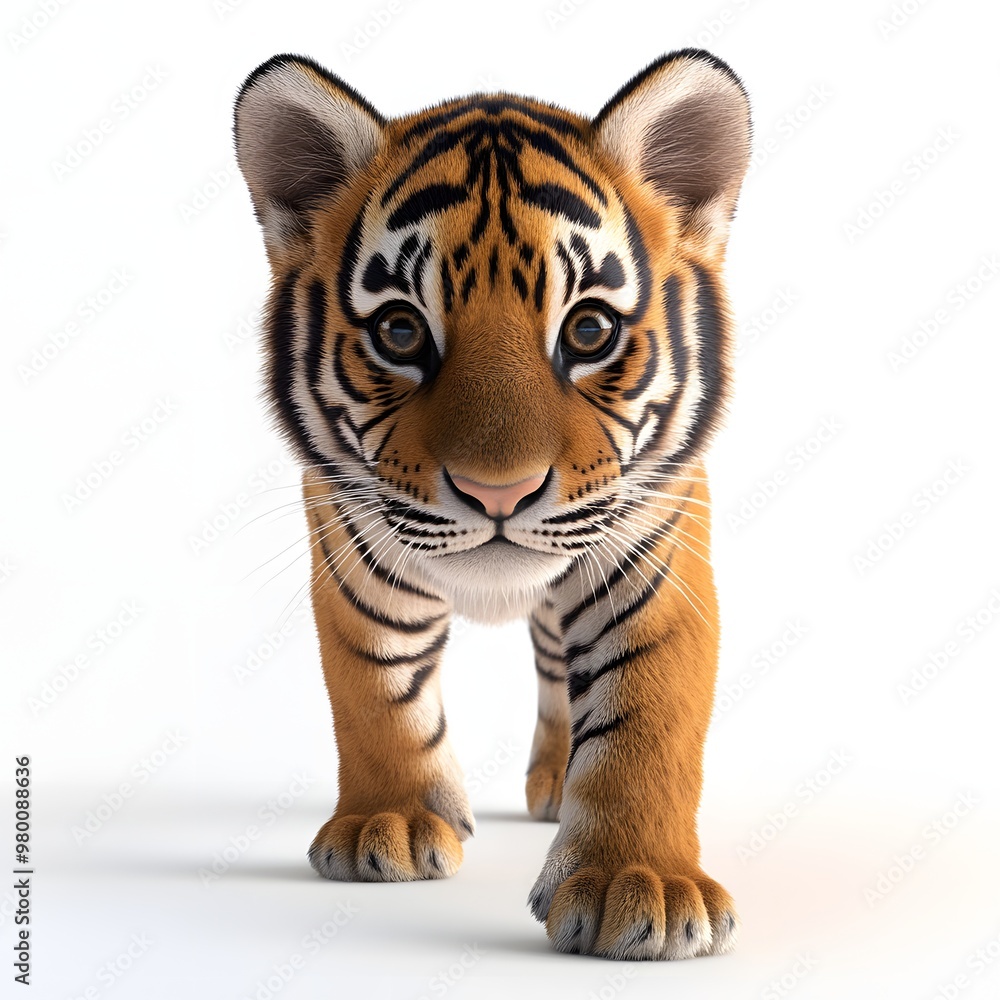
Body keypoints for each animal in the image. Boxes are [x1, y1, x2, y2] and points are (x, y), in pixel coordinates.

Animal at [233, 47, 751, 961]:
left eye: (589, 331)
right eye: (401, 332)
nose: (497, 490)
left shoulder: (654, 551)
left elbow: (647, 713)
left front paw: (638, 883)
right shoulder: (350, 544)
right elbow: (376, 693)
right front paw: (390, 825)